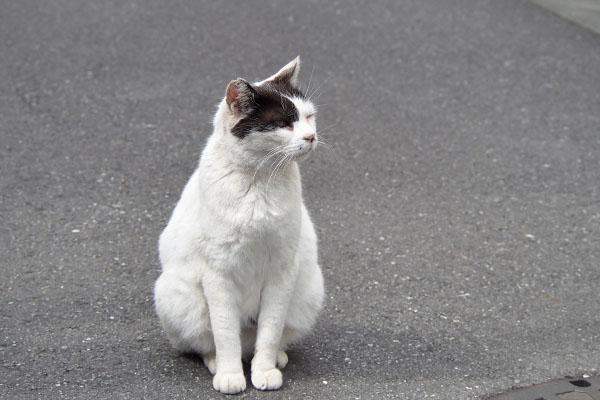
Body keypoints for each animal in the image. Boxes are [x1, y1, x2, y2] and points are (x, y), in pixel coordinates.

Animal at [154, 57, 324, 396]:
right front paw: (231, 375)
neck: (259, 180)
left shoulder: (282, 273)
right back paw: (217, 362)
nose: (311, 137)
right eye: (285, 123)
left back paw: (275, 358)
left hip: (309, 290)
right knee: (208, 341)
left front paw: (265, 370)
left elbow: (269, 332)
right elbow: (225, 333)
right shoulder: (217, 275)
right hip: (176, 295)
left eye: (308, 117)